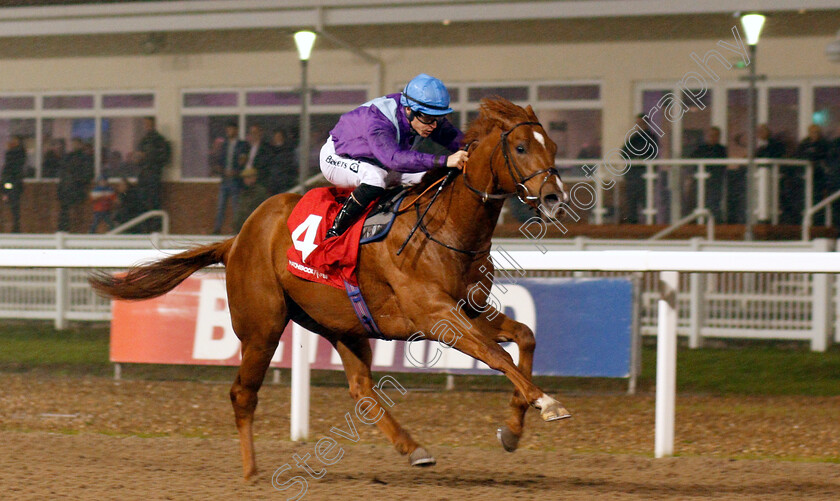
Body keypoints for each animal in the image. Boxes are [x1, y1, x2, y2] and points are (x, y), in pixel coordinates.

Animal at [90, 96, 572, 476]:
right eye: (521, 146)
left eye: (552, 145)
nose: (554, 198)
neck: (445, 226)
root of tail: (238, 238)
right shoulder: (436, 315)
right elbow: (496, 355)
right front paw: (547, 403)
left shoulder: (468, 309)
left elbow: (524, 337)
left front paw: (513, 429)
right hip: (262, 327)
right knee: (243, 393)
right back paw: (251, 472)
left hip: (343, 324)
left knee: (361, 390)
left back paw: (413, 448)